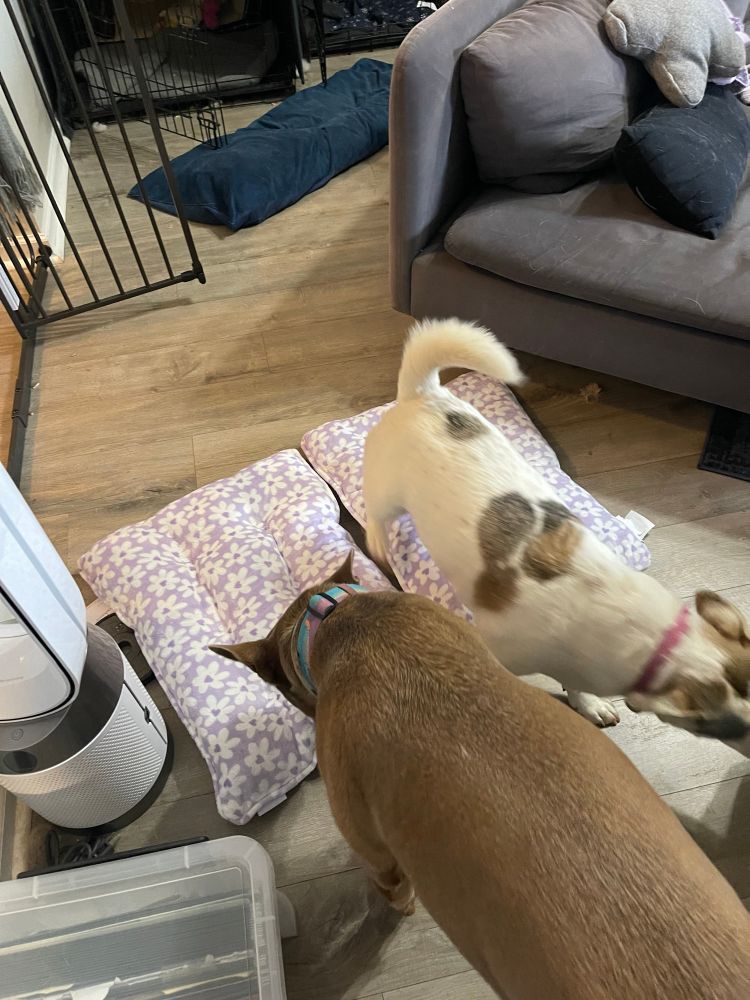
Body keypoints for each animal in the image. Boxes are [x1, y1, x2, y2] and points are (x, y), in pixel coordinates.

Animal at [363, 319, 750, 735]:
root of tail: (425, 393)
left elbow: (575, 683)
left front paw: (589, 704)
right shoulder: (504, 653)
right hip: (387, 491)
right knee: (375, 510)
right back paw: (377, 538)